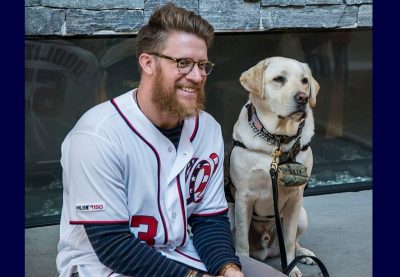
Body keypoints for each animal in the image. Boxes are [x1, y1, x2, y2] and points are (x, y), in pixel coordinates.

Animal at [227, 56, 320, 276]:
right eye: (279, 79)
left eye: (305, 81)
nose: (303, 98)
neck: (277, 140)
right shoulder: (243, 197)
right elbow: (241, 242)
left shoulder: (295, 198)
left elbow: (289, 241)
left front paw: (292, 267)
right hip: (229, 213)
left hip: (302, 215)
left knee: (293, 242)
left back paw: (305, 254)